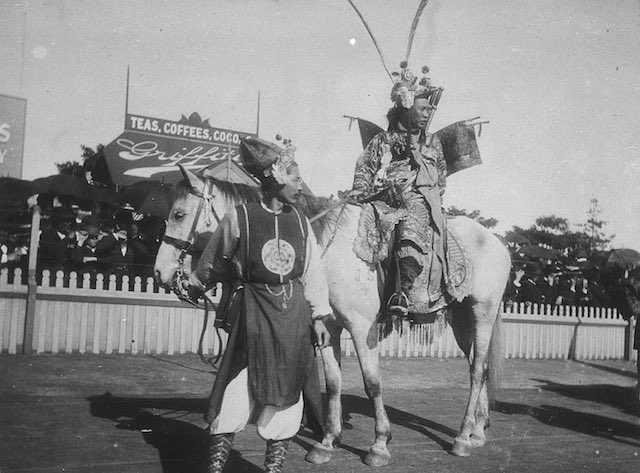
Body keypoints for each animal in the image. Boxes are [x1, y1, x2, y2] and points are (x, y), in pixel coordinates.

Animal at [154, 166, 510, 464]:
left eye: (179, 213)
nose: (162, 273)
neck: (325, 248)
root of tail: (497, 243)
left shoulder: (362, 328)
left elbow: (372, 383)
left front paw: (379, 445)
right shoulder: (328, 328)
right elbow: (335, 382)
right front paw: (326, 442)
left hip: (481, 313)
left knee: (477, 370)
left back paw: (462, 438)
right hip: (461, 319)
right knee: (477, 367)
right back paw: (477, 431)